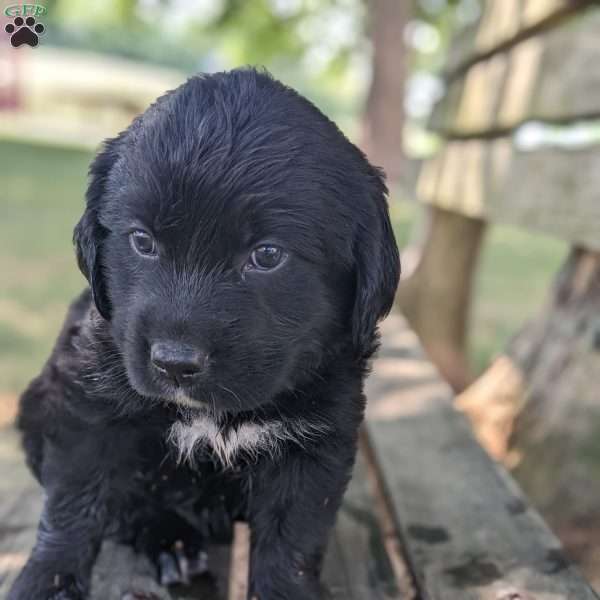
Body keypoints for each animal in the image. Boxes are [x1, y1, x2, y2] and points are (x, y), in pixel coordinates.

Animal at [8, 70, 398, 600]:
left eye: (267, 255)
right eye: (142, 241)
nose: (174, 363)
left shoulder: (316, 443)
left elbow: (293, 540)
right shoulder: (86, 407)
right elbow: (74, 506)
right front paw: (45, 581)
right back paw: (169, 541)